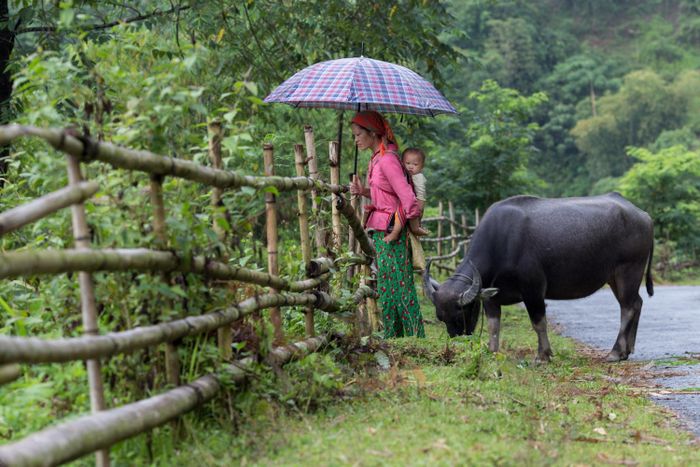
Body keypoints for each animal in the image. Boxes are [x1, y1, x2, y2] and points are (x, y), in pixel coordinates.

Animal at [422, 192, 656, 364]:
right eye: (441, 318)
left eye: (460, 314)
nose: (456, 344)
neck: (502, 242)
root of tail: (644, 216)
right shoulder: (490, 297)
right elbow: (493, 326)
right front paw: (492, 352)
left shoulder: (533, 289)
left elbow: (538, 322)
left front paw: (543, 356)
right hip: (614, 277)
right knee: (636, 303)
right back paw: (627, 350)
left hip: (628, 271)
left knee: (628, 307)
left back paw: (615, 353)